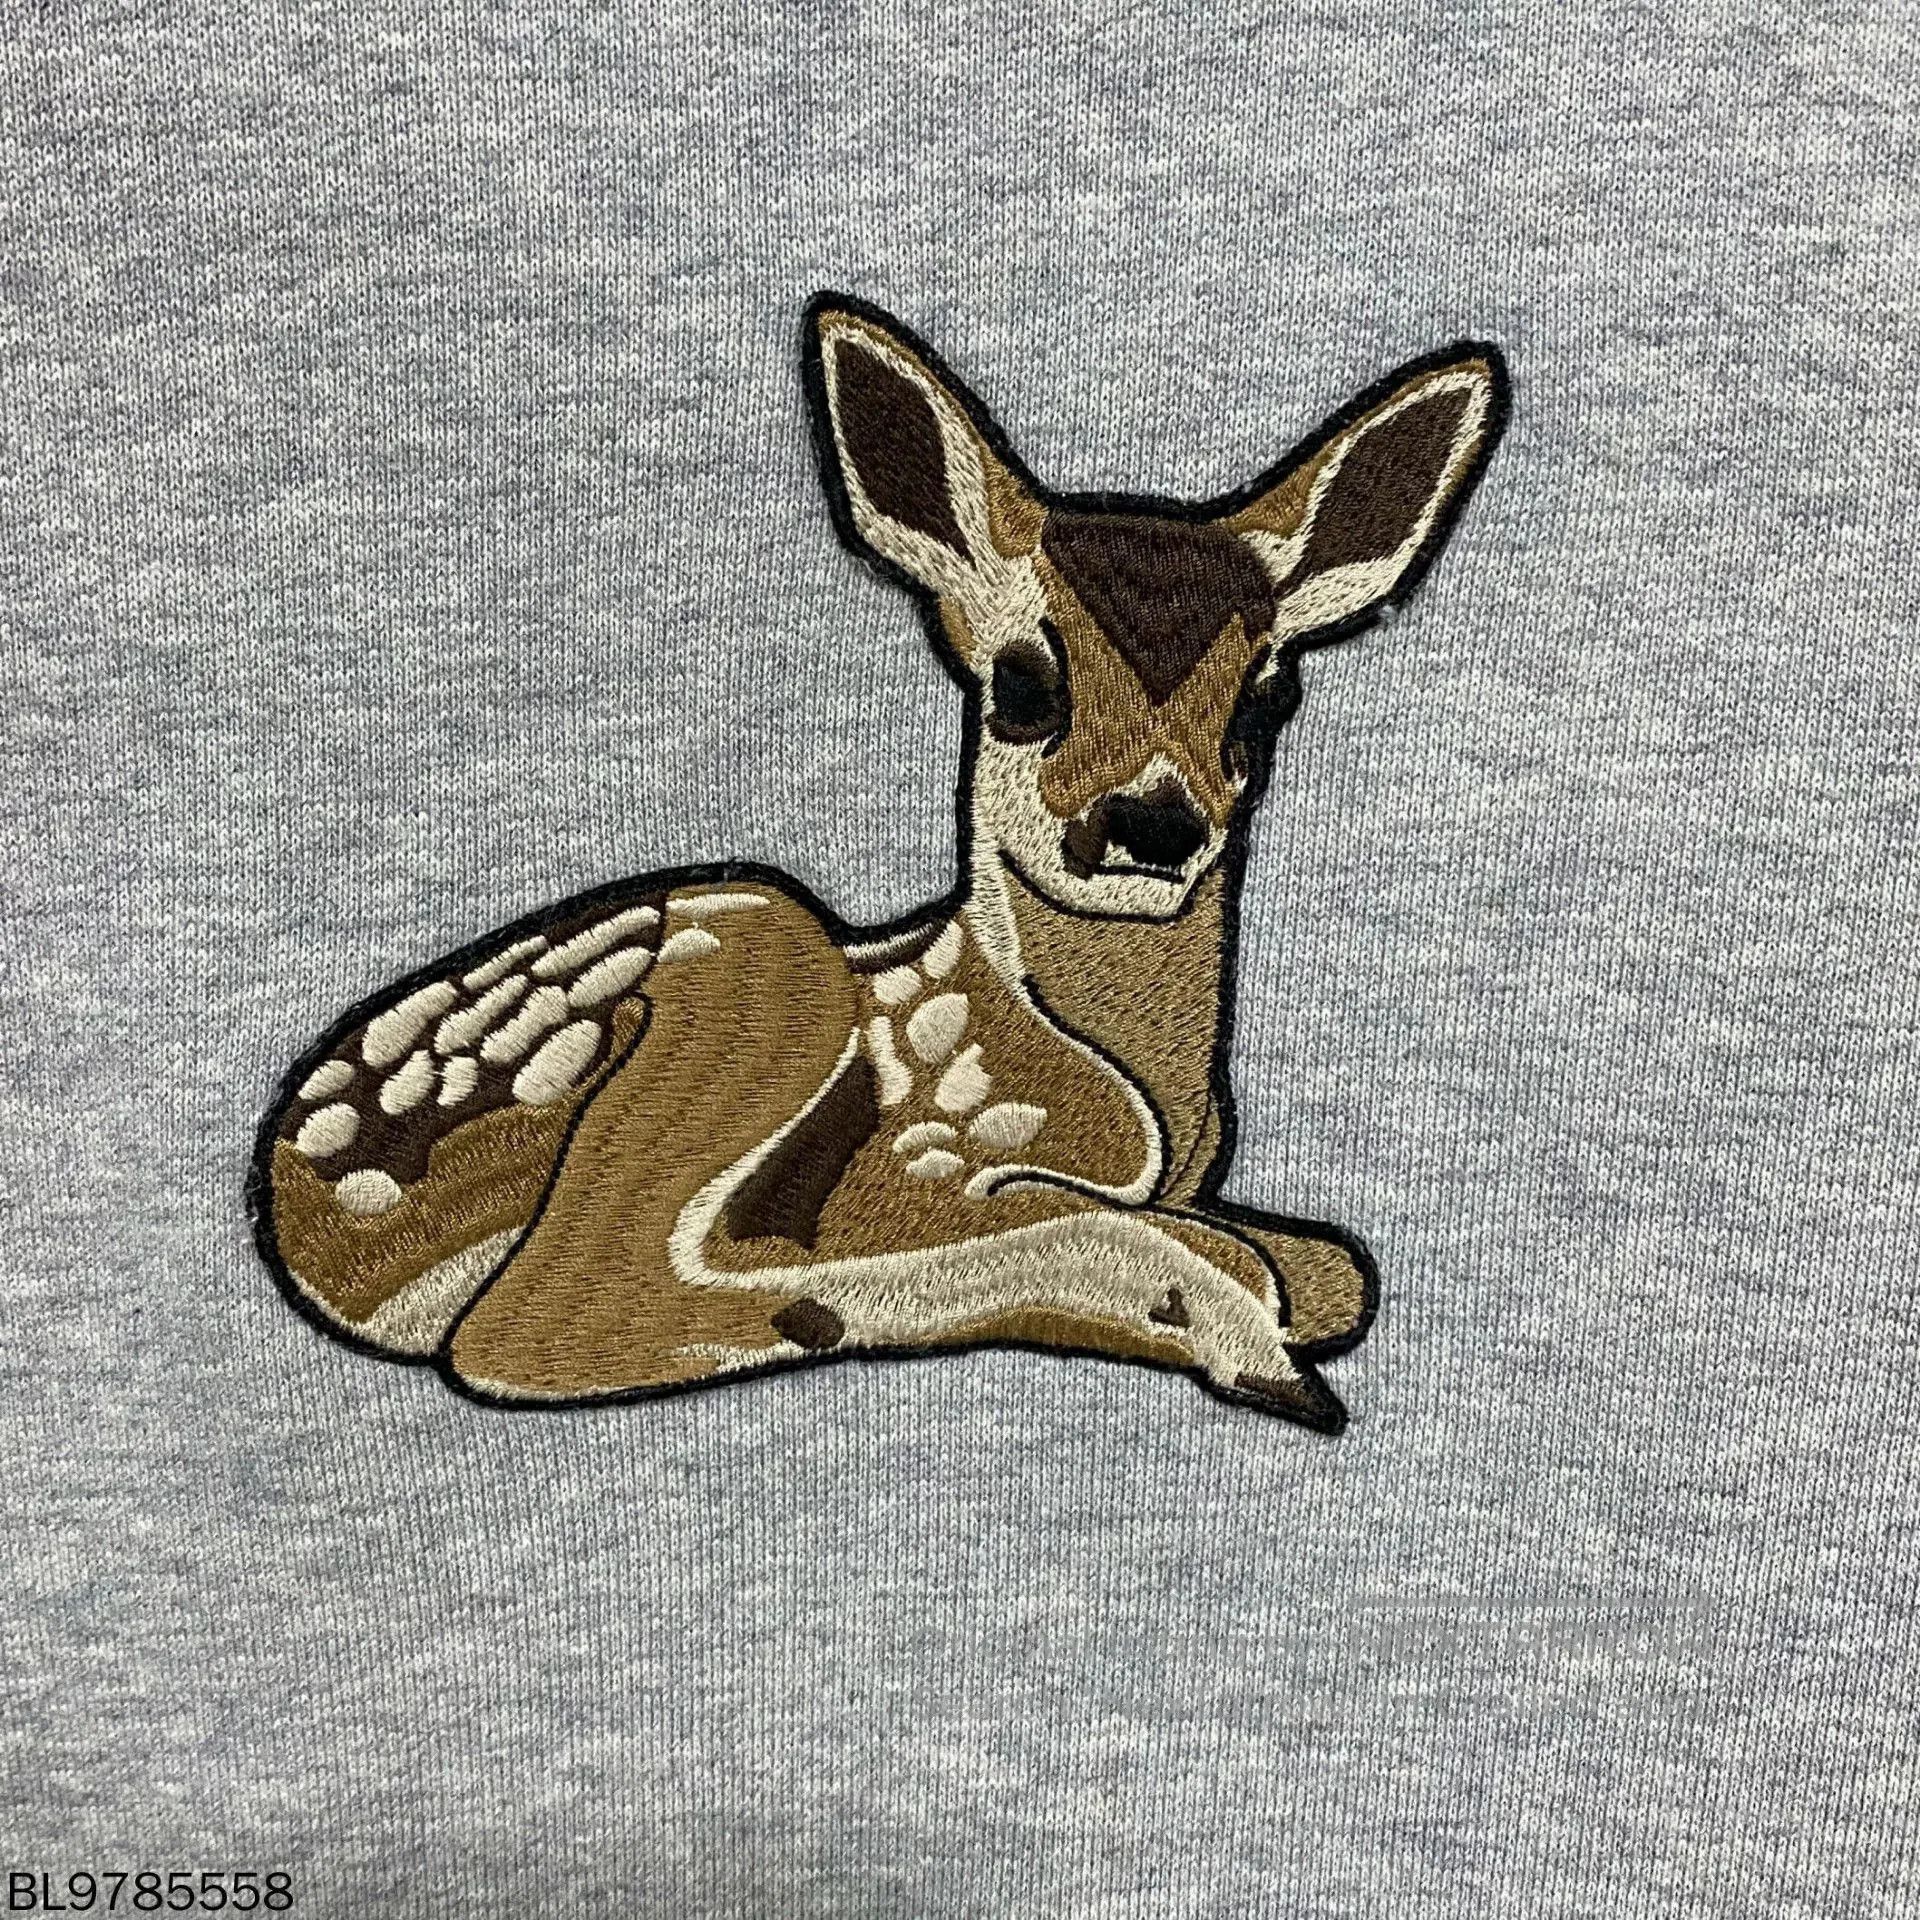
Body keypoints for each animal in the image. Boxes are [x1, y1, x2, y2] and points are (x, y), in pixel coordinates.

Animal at [248, 294, 1507, 1433]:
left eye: (1266, 699)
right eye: (1022, 683)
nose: (1151, 825)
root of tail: (294, 1198)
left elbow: (1337, 1269)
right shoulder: (926, 1154)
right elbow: (1235, 1255)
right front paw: (1213, 1297)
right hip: (752, 949)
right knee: (545, 1322)